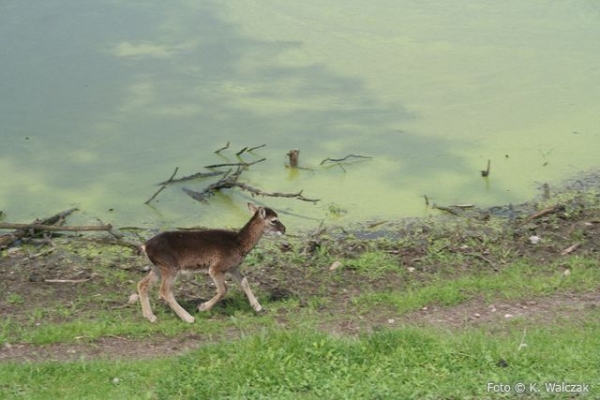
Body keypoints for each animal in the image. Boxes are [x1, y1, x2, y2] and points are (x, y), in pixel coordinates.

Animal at [138, 203, 286, 322]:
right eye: (274, 220)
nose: (284, 229)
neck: (238, 244)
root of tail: (145, 246)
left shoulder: (233, 267)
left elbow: (244, 282)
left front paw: (258, 307)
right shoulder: (216, 267)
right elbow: (223, 289)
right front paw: (201, 307)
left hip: (158, 267)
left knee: (142, 284)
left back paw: (150, 317)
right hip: (170, 267)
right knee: (165, 291)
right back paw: (189, 318)